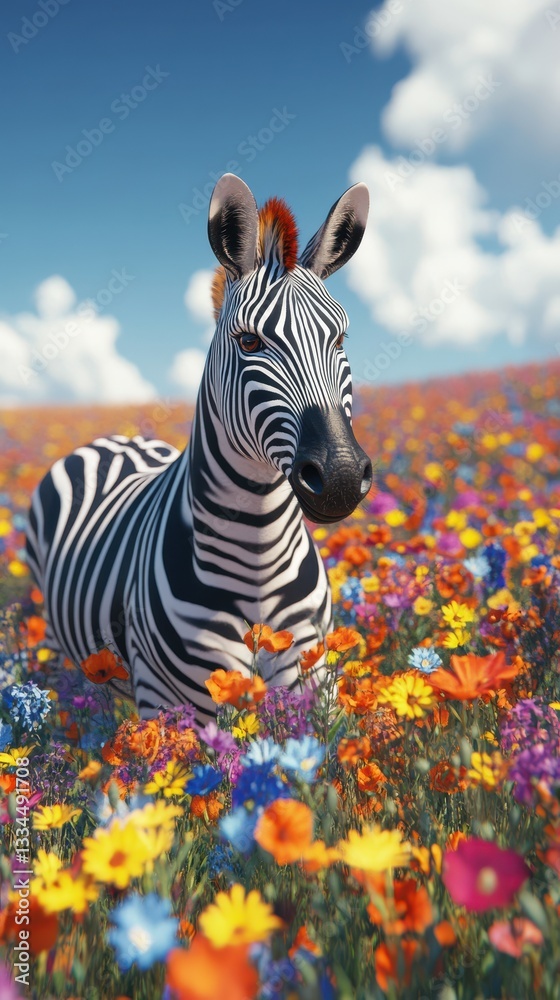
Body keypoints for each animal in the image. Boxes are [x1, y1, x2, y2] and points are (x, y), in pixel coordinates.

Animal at [25, 173, 372, 721]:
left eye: (340, 340)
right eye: (249, 342)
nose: (339, 477)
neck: (258, 556)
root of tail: (119, 439)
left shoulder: (313, 679)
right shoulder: (168, 699)